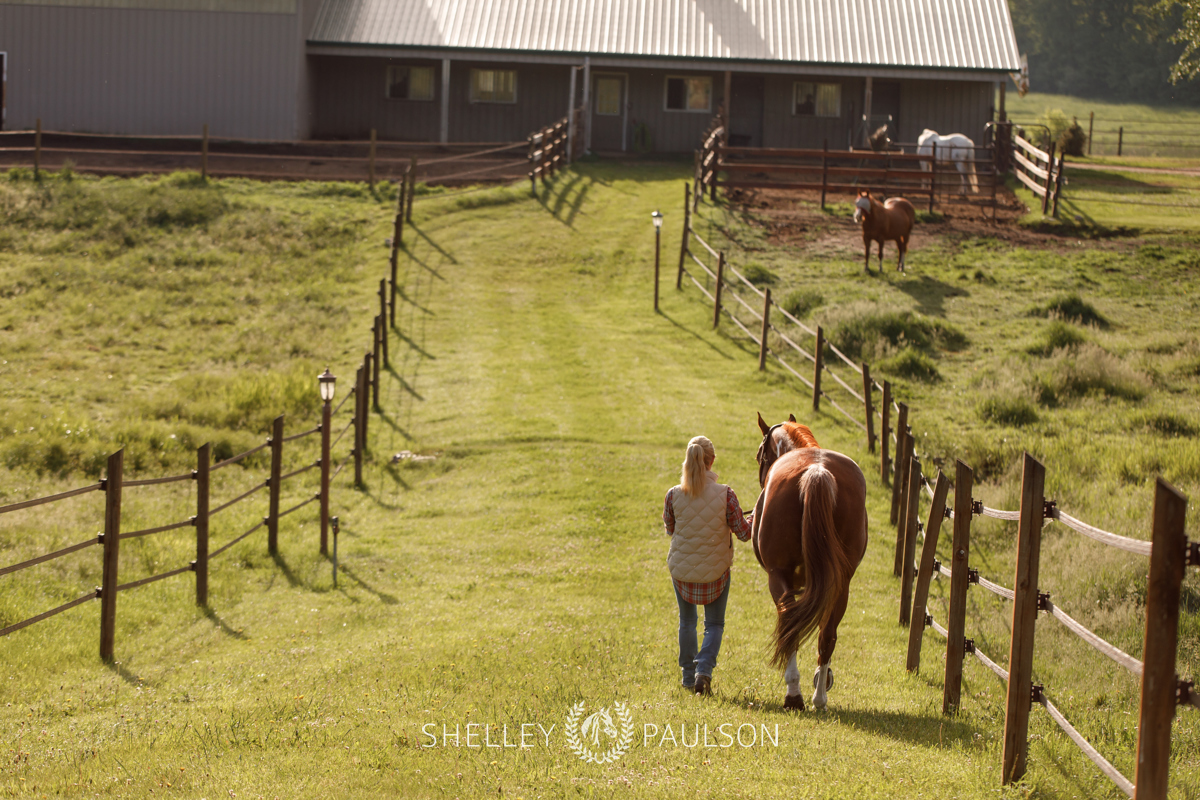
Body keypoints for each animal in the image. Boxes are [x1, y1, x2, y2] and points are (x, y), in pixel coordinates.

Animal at [744, 417, 868, 710]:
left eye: (759, 454)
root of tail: (817, 472)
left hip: (778, 576)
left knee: (789, 623)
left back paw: (794, 696)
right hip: (841, 583)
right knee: (827, 634)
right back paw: (819, 697)